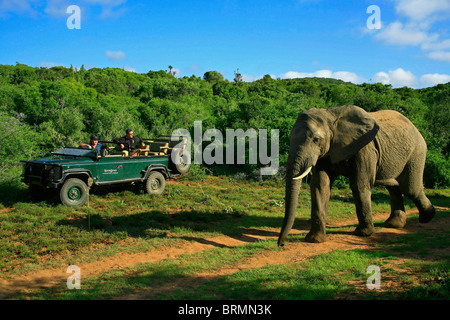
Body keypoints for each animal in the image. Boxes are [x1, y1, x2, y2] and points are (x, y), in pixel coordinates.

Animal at [280, 104, 434, 245]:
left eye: (316, 140)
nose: (281, 244)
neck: (330, 116)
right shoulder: (325, 152)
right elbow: (320, 186)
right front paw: (315, 240)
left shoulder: (365, 148)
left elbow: (359, 184)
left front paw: (363, 234)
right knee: (393, 188)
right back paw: (394, 224)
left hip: (417, 152)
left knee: (409, 189)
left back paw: (427, 218)